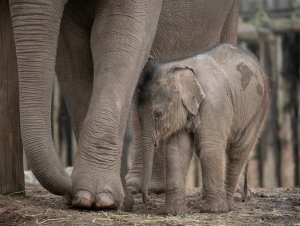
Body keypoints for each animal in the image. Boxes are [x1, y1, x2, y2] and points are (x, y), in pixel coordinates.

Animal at [8, 0, 239, 210]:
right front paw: (90, 198)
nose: (68, 181)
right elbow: (74, 55)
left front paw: (97, 198)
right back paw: (138, 188)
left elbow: (120, 37)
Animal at [138, 43, 270, 214]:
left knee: (238, 152)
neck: (180, 67)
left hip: (259, 108)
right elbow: (177, 150)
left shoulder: (215, 103)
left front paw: (213, 210)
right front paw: (173, 212)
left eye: (158, 114)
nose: (146, 200)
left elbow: (210, 147)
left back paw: (228, 205)